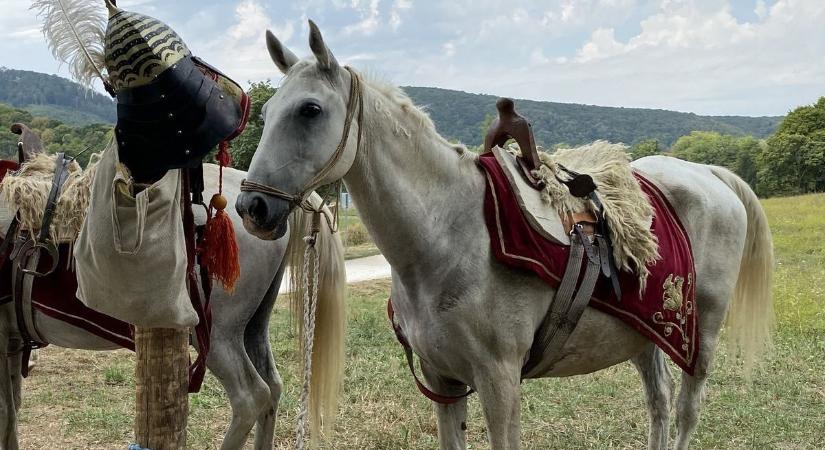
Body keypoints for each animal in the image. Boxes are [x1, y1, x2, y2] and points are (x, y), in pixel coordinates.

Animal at [0, 160, 346, 448]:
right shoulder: (13, 340)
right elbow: (12, 410)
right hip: (252, 326)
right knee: (272, 388)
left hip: (217, 335)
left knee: (251, 397)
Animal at [235, 22, 776, 450]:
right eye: (265, 113)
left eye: (309, 109)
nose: (250, 208)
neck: (448, 236)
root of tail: (708, 173)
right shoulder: (443, 381)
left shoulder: (500, 382)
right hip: (646, 336)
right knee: (659, 406)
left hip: (701, 336)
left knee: (684, 410)